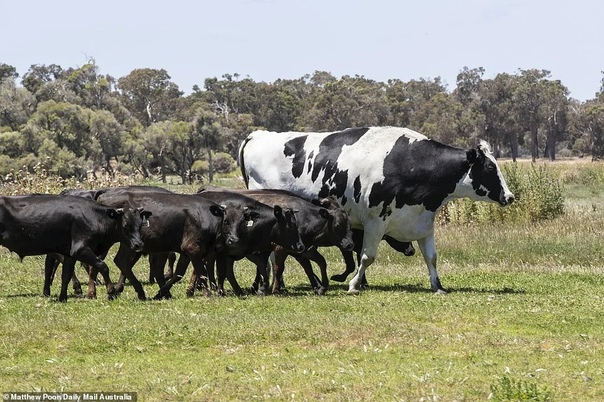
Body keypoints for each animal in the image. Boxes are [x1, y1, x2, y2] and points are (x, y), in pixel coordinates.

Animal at [239, 127, 516, 294]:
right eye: (490, 168)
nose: (510, 196)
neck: (410, 163)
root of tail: (258, 134)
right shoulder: (374, 222)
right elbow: (366, 257)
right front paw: (353, 284)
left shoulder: (423, 222)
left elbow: (432, 257)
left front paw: (437, 286)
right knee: (272, 254)